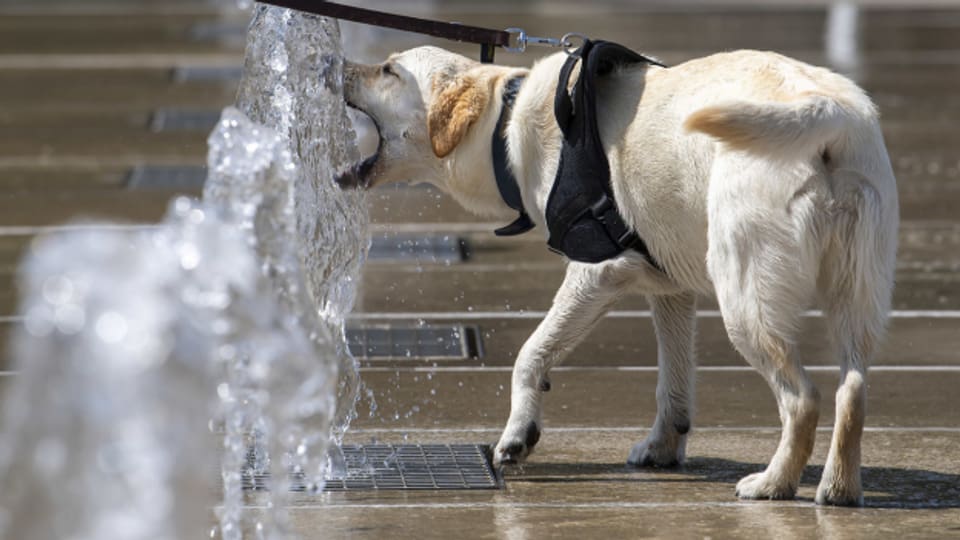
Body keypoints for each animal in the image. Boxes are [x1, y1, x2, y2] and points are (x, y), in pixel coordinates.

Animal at [344, 45, 900, 506]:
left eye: (389, 70)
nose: (337, 65)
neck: (506, 117)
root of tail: (827, 109)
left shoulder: (597, 271)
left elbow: (531, 354)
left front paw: (518, 434)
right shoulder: (671, 288)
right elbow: (673, 382)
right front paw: (663, 447)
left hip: (746, 300)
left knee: (803, 400)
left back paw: (774, 483)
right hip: (858, 293)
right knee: (852, 390)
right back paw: (839, 489)